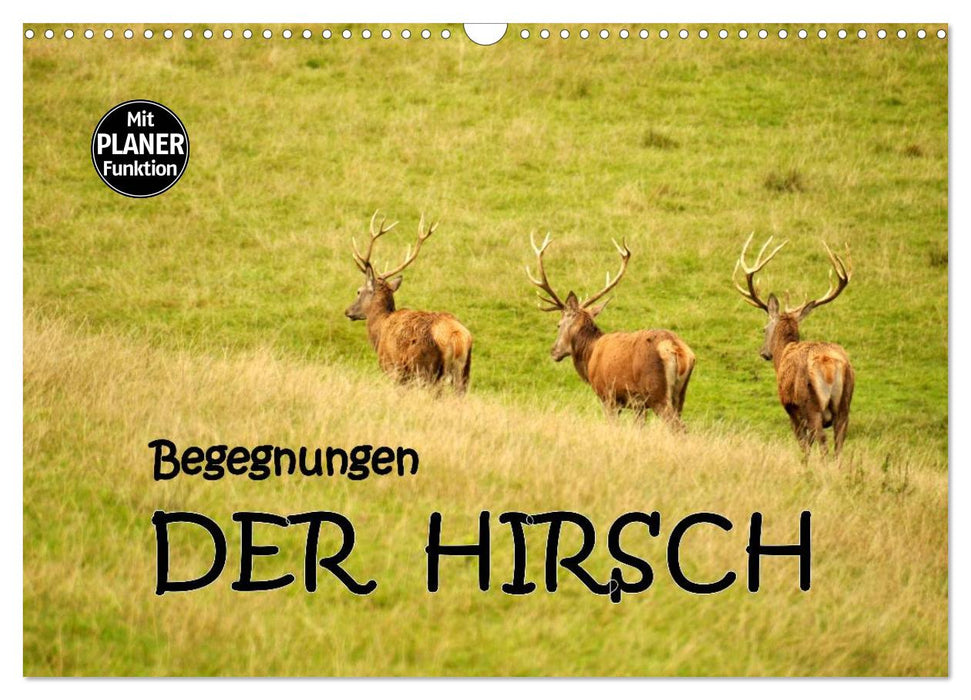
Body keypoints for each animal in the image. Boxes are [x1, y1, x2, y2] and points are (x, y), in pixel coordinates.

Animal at [344, 211, 473, 395]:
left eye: (358, 291)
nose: (347, 311)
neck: (380, 328)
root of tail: (458, 337)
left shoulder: (392, 368)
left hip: (426, 370)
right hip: (464, 372)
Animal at [526, 233, 695, 428]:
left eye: (558, 325)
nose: (553, 351)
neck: (589, 355)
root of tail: (678, 349)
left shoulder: (607, 395)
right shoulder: (638, 405)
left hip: (657, 393)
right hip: (680, 395)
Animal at [733, 233, 855, 456]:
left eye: (764, 328)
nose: (763, 352)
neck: (784, 352)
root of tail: (831, 365)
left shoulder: (790, 407)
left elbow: (804, 445)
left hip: (812, 404)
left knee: (822, 443)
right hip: (845, 404)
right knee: (839, 445)